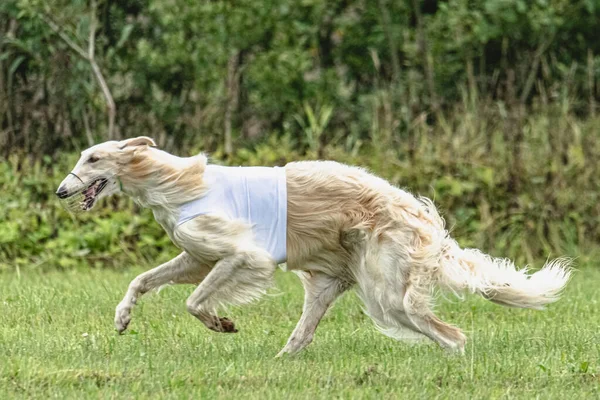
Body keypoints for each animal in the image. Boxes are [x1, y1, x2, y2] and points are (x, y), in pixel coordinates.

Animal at [55, 136, 572, 354]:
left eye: (93, 158)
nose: (61, 191)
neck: (171, 184)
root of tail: (418, 214)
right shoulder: (196, 255)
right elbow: (142, 280)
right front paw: (122, 318)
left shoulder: (245, 256)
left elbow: (194, 300)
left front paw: (221, 322)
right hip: (331, 282)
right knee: (302, 335)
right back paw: (280, 362)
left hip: (387, 294)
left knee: (452, 335)